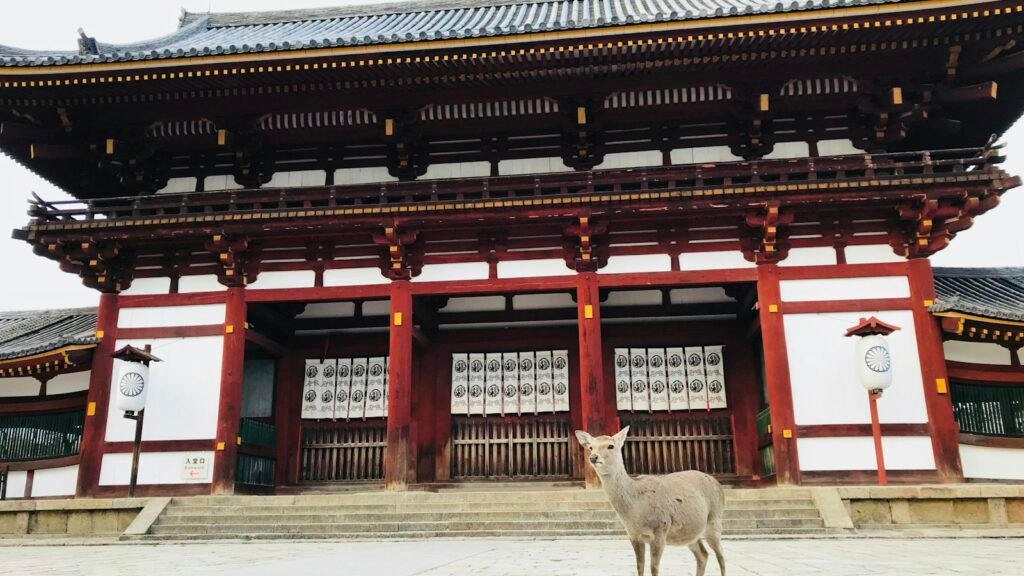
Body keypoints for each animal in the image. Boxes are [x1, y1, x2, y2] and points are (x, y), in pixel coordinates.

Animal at [575, 426, 726, 576]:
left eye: (611, 446)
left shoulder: (660, 530)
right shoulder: (633, 536)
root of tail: (718, 484)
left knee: (721, 556)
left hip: (714, 520)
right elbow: (639, 567)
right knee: (703, 554)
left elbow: (654, 568)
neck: (635, 513)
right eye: (590, 447)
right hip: (690, 533)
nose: (593, 457)